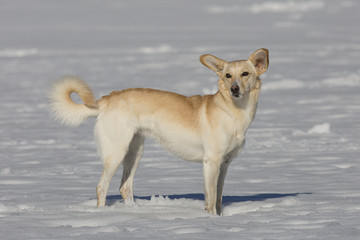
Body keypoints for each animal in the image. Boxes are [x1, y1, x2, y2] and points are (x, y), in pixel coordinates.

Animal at [50, 47, 270, 215]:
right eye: (227, 75)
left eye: (245, 74)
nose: (234, 89)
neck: (233, 112)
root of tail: (107, 99)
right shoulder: (212, 162)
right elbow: (211, 200)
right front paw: (212, 220)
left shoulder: (224, 164)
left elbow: (218, 198)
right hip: (116, 153)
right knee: (101, 187)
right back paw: (102, 214)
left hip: (135, 152)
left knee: (125, 187)